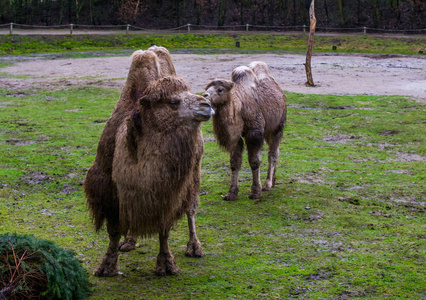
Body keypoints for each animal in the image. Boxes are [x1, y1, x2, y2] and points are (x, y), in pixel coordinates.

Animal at [83, 48, 213, 276]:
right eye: (173, 102)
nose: (207, 104)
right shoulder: (109, 192)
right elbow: (113, 230)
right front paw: (106, 265)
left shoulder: (168, 194)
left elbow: (164, 230)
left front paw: (166, 264)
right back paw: (129, 241)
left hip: (195, 172)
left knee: (192, 208)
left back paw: (194, 247)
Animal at [203, 60, 286, 202]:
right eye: (206, 89)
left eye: (220, 90)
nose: (204, 96)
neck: (239, 109)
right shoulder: (236, 138)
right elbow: (234, 163)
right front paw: (231, 193)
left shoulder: (254, 133)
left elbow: (254, 161)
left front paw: (255, 192)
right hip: (268, 131)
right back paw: (273, 180)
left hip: (278, 126)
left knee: (273, 153)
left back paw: (268, 184)